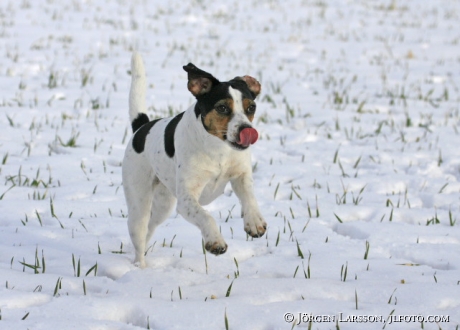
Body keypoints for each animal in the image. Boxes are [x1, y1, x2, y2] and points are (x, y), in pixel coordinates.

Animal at [122, 52, 266, 268]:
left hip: (163, 205)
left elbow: (250, 198)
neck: (218, 149)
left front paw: (255, 222)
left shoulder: (241, 175)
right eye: (222, 108)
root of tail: (141, 128)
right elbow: (206, 216)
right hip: (139, 203)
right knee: (139, 238)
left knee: (149, 229)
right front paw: (215, 241)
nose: (246, 130)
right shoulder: (187, 199)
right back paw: (141, 268)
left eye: (252, 107)